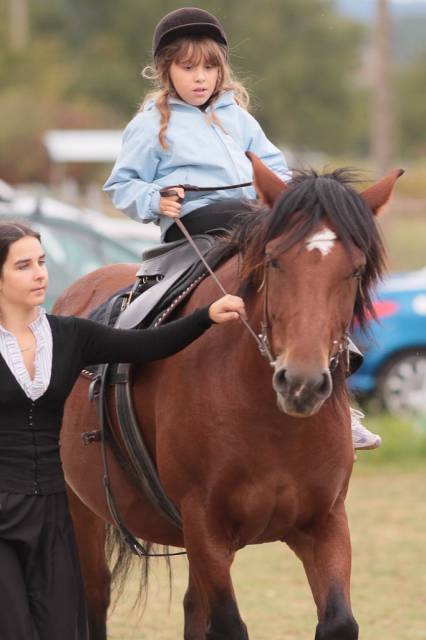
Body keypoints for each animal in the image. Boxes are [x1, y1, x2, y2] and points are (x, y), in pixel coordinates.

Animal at [54, 156, 402, 640]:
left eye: (353, 270)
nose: (302, 382)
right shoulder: (206, 527)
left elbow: (338, 622)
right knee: (95, 596)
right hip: (81, 510)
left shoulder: (325, 522)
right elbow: (227, 624)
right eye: (274, 262)